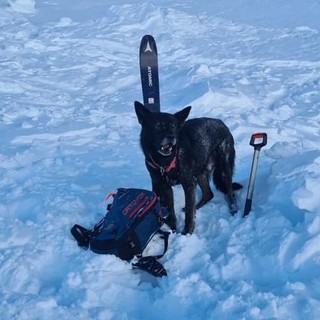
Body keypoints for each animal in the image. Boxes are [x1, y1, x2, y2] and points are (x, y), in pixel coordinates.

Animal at [134, 101, 241, 234]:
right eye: (158, 125)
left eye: (174, 126)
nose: (171, 137)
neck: (166, 161)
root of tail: (221, 123)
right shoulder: (164, 186)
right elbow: (171, 212)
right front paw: (173, 231)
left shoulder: (188, 184)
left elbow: (189, 214)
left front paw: (186, 233)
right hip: (199, 173)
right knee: (208, 194)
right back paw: (197, 206)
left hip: (224, 168)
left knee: (230, 192)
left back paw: (233, 209)